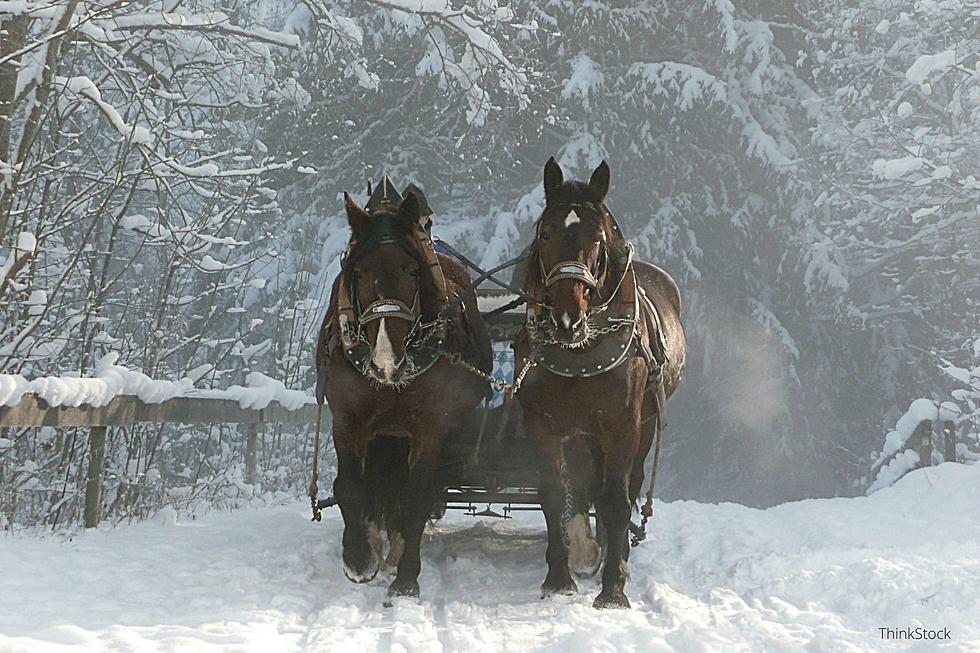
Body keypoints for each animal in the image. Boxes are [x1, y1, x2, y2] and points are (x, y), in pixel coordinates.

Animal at [318, 183, 494, 600]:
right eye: (358, 272)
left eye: (412, 270)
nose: (385, 360)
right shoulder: (347, 420)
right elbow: (350, 487)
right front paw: (359, 557)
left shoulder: (429, 427)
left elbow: (416, 496)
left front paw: (406, 578)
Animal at [516, 157, 684, 608]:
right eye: (545, 233)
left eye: (597, 238)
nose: (566, 319)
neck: (580, 351)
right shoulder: (544, 425)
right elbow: (554, 495)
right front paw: (558, 578)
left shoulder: (622, 425)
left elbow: (614, 500)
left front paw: (613, 588)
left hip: (643, 425)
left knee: (628, 486)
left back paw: (615, 552)